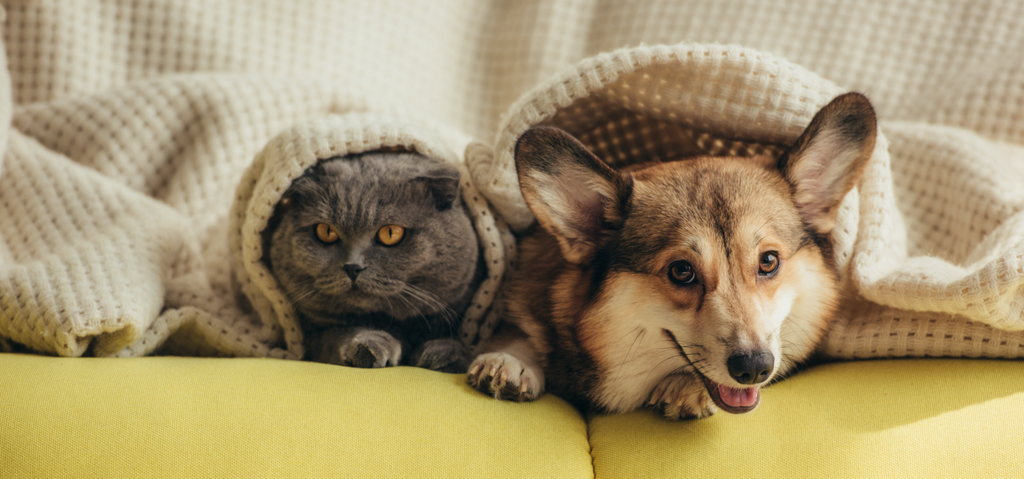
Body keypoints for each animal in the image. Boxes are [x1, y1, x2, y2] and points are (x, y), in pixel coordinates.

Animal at [268, 153, 483, 374]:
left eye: (391, 233)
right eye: (326, 231)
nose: (352, 267)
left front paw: (445, 354)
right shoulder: (313, 336)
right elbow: (337, 334)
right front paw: (369, 346)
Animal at [468, 91, 876, 417]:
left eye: (769, 261)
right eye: (681, 271)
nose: (755, 368)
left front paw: (685, 387)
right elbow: (520, 332)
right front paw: (510, 360)